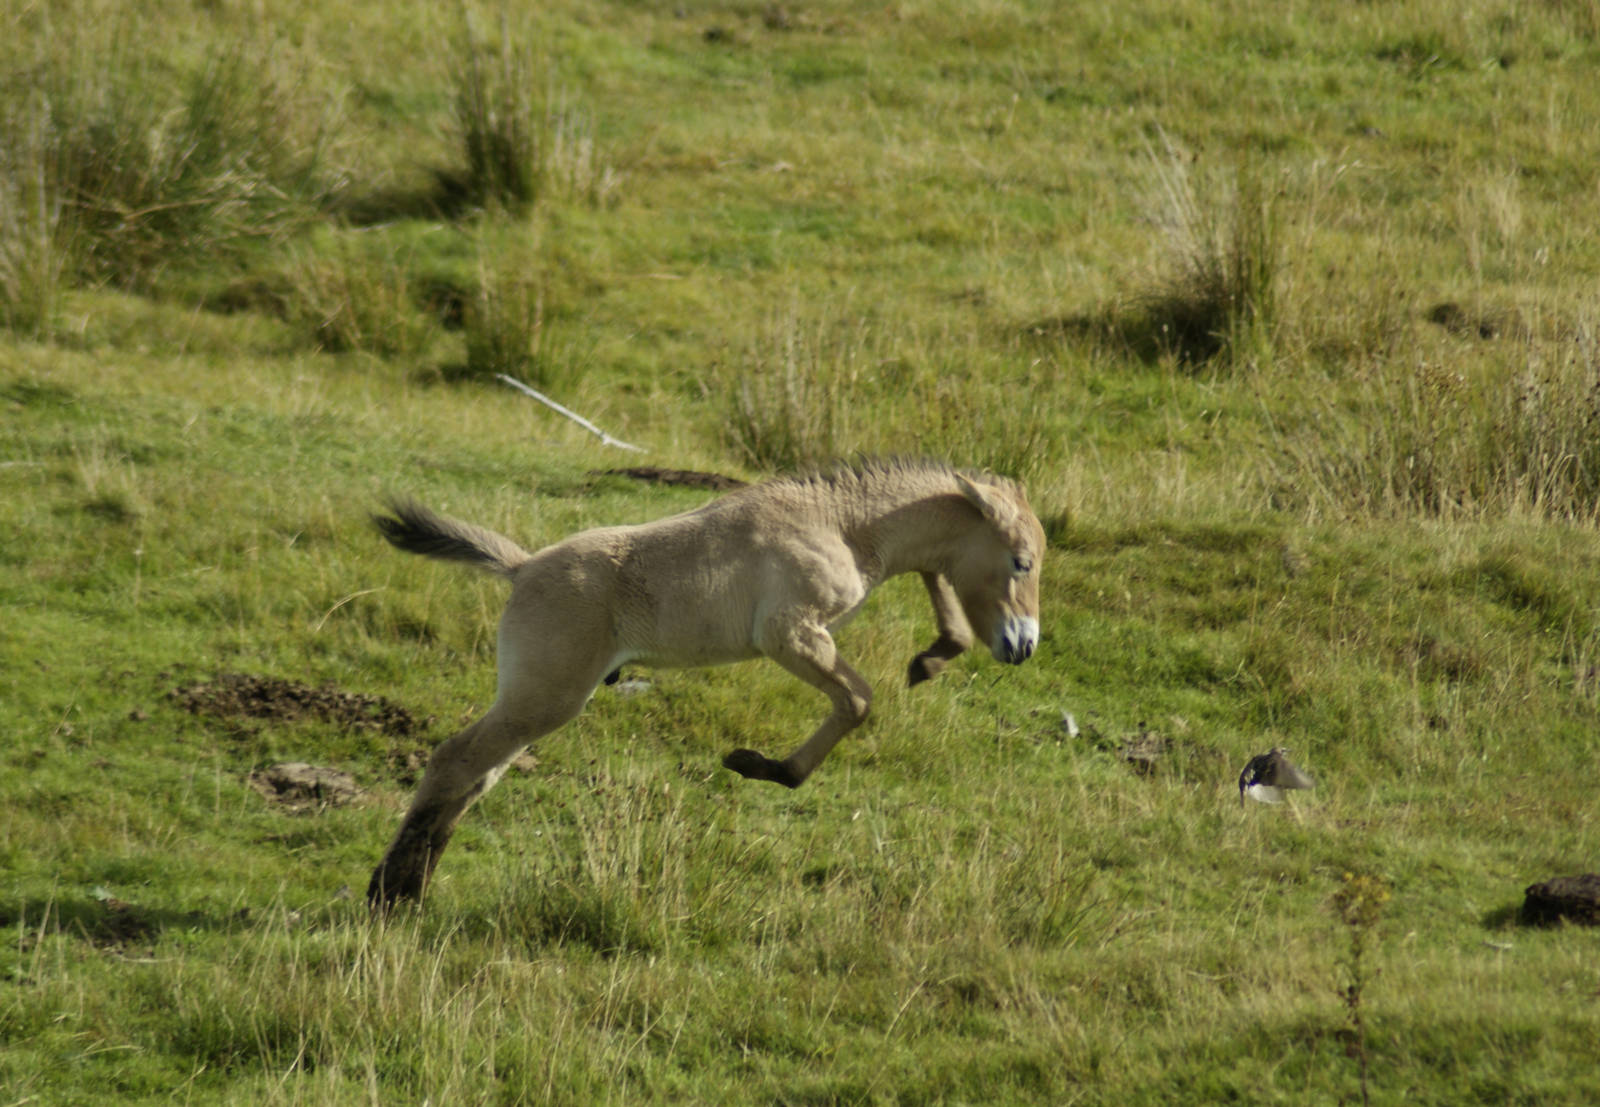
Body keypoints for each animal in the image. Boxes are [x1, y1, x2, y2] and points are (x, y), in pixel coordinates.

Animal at [366, 459, 1045, 908]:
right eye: (1022, 562)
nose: (1024, 646)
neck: (841, 526)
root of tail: (522, 567)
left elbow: (939, 595)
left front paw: (932, 659)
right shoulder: (790, 635)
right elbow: (857, 701)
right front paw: (761, 767)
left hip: (533, 702)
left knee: (478, 774)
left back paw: (409, 887)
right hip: (545, 699)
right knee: (454, 761)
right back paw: (390, 895)